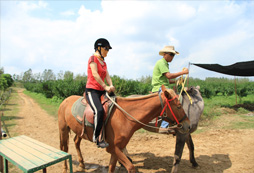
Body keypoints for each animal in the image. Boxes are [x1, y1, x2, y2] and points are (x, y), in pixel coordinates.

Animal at [57, 85, 189, 172]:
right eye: (178, 106)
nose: (187, 125)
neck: (124, 116)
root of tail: (65, 101)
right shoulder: (112, 148)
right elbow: (130, 167)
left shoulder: (117, 149)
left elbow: (111, 168)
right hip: (63, 129)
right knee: (64, 148)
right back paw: (65, 168)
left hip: (79, 131)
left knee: (76, 142)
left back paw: (81, 164)